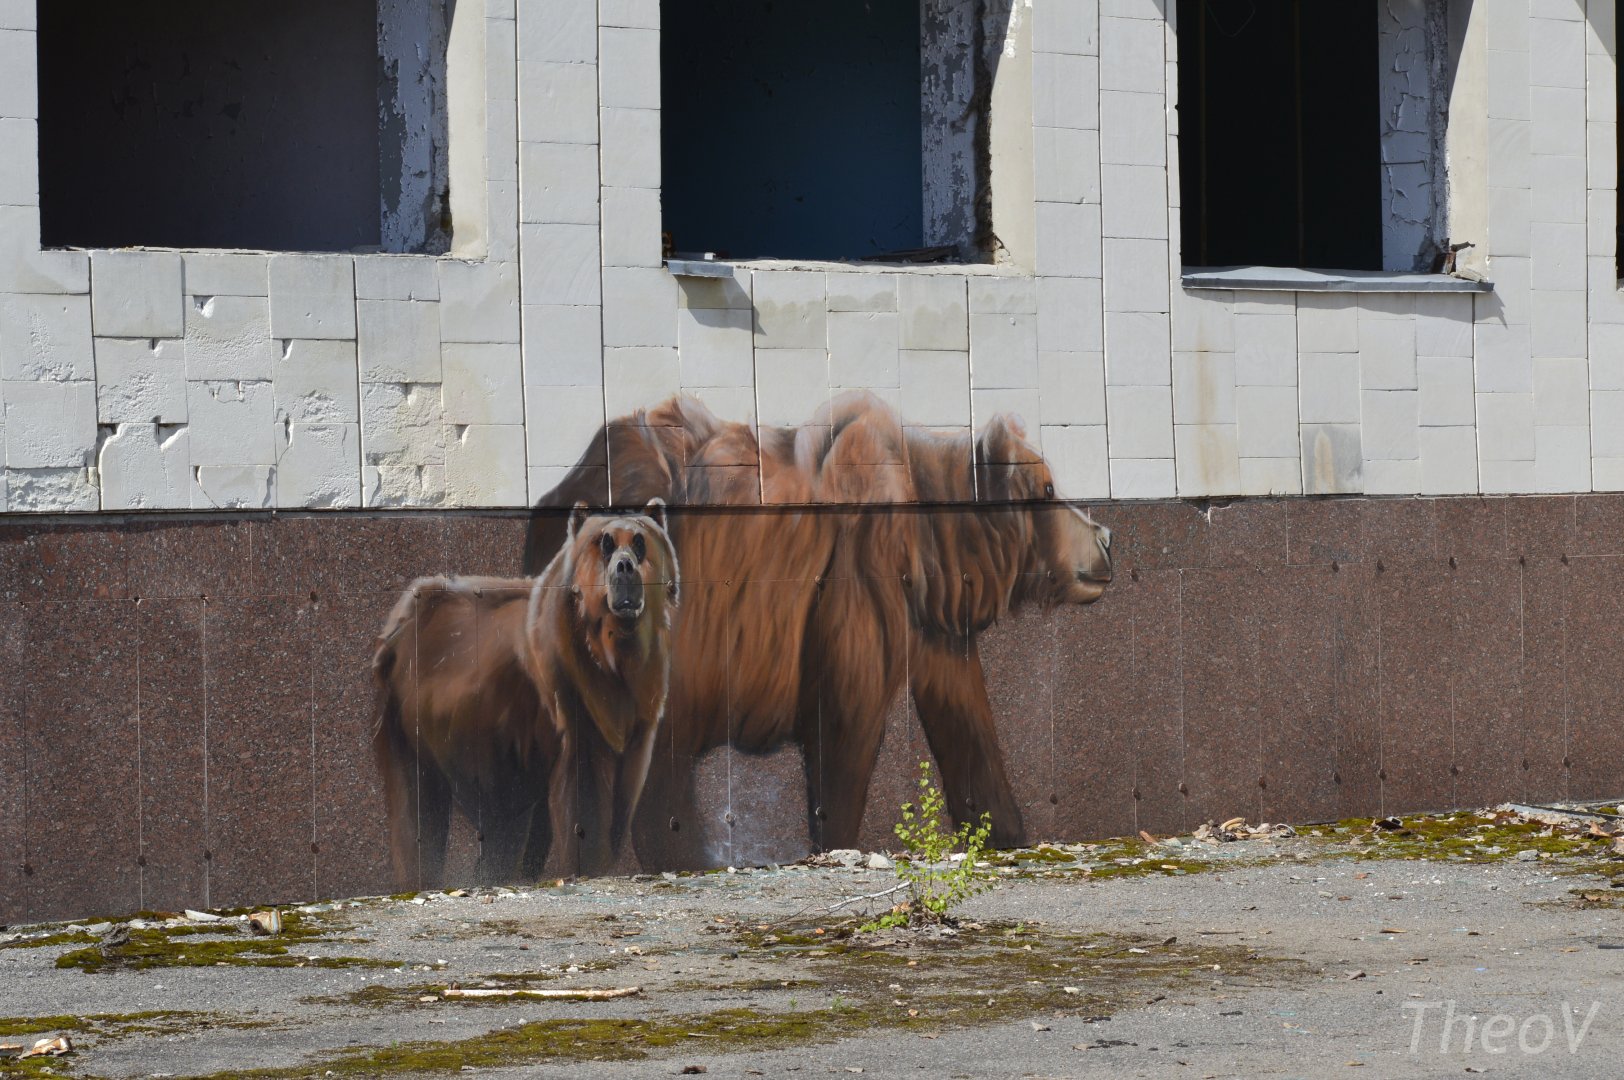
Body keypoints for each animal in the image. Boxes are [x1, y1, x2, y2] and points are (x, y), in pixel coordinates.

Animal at [373, 500, 679, 887]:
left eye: (639, 542)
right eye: (605, 543)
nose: (624, 567)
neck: (614, 654)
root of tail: (395, 626)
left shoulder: (639, 715)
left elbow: (622, 797)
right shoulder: (572, 701)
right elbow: (583, 798)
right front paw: (583, 859)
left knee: (500, 822)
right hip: (411, 721)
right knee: (417, 810)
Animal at [523, 392, 1112, 869]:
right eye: (1049, 488)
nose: (1105, 537)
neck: (933, 543)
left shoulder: (931, 628)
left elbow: (967, 724)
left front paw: (1005, 831)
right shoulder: (853, 589)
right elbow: (846, 733)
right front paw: (837, 841)